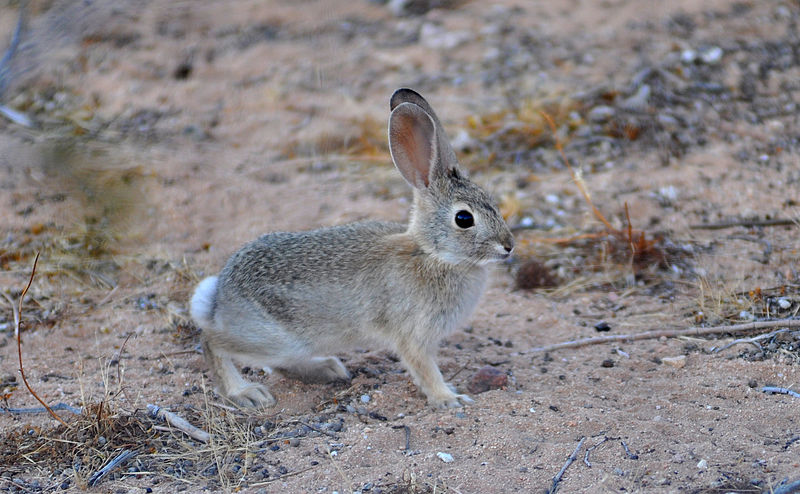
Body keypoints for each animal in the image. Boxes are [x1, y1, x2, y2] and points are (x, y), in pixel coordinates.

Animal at [191, 88, 516, 410]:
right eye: (464, 219)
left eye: (492, 202)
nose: (509, 246)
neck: (433, 254)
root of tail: (219, 297)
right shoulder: (412, 335)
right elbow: (425, 369)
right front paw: (449, 398)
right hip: (275, 338)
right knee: (212, 342)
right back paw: (244, 392)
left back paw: (327, 369)